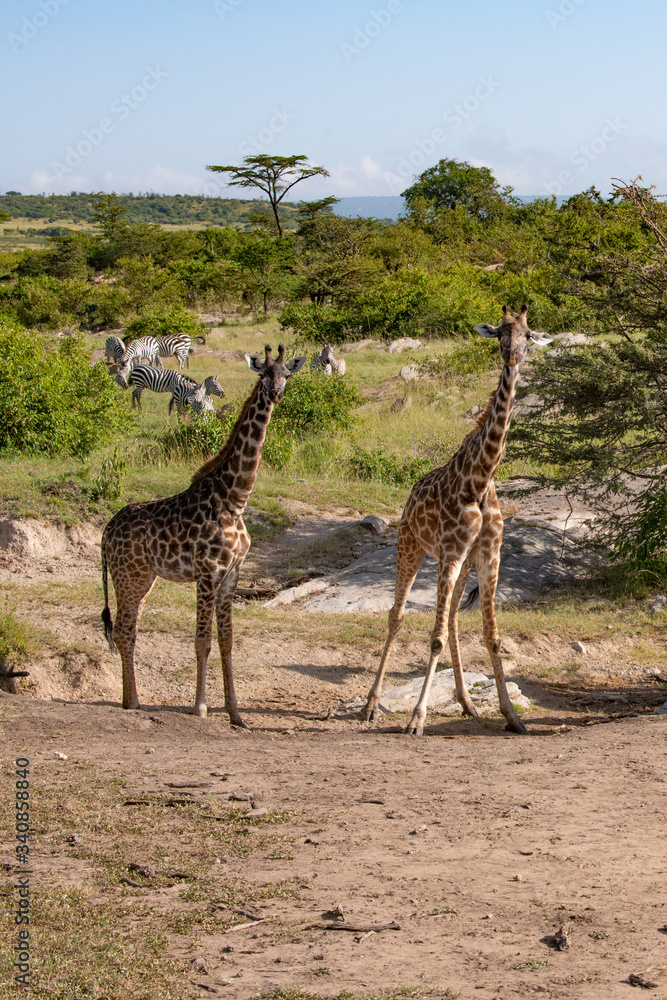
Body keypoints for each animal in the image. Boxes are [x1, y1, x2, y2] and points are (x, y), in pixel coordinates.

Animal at [101, 344, 306, 726]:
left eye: (287, 373)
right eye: (263, 374)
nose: (275, 394)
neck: (235, 500)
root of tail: (105, 531)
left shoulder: (231, 574)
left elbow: (226, 640)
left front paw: (236, 713)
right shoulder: (207, 573)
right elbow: (202, 641)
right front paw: (199, 707)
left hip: (143, 578)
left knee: (128, 629)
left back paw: (127, 699)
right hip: (128, 576)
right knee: (123, 630)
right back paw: (133, 701)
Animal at [362, 306, 552, 736]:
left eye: (528, 335)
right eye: (499, 332)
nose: (511, 356)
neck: (480, 478)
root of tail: (410, 494)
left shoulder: (487, 554)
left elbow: (491, 636)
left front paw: (512, 716)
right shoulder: (449, 551)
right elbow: (431, 637)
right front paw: (416, 718)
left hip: (460, 562)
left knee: (449, 620)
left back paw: (466, 702)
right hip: (410, 547)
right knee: (397, 616)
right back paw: (370, 704)